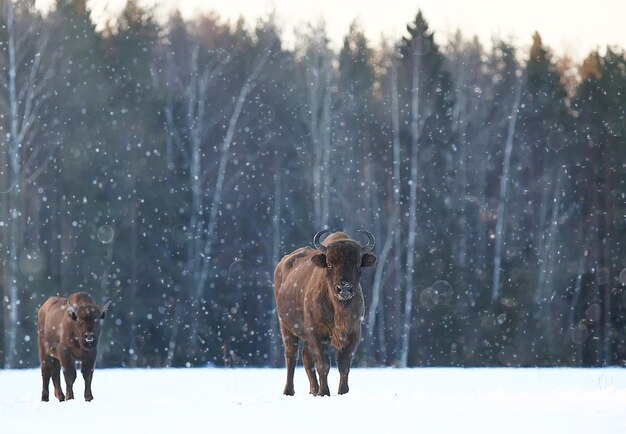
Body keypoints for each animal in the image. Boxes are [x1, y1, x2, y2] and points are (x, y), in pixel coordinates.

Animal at [272, 231, 376, 396]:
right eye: (329, 264)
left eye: (358, 264)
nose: (344, 288)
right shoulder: (317, 334)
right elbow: (323, 364)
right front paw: (324, 392)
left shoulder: (353, 334)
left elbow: (344, 365)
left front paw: (343, 392)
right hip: (286, 327)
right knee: (291, 356)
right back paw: (289, 391)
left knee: (306, 358)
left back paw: (313, 391)